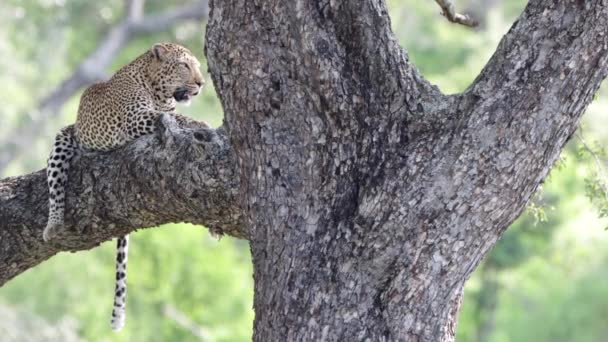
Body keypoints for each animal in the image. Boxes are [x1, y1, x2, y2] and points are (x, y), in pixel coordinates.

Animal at [41, 42, 207, 332]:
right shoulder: (135, 119)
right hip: (62, 140)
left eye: (196, 66)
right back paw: (54, 224)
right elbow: (180, 120)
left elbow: (175, 118)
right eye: (184, 65)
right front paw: (201, 124)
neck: (158, 92)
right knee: (55, 181)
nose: (201, 83)